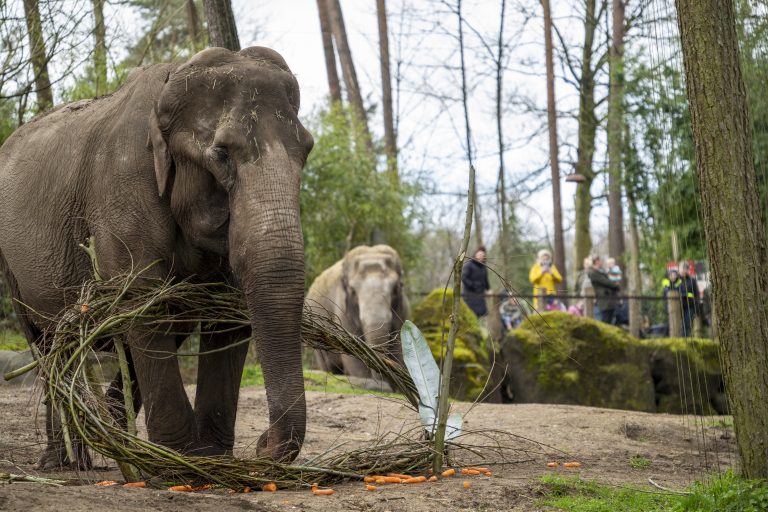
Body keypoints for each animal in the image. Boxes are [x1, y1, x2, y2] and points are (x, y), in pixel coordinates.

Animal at [0, 47, 316, 468]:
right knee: (50, 343)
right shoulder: (123, 192)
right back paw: (66, 461)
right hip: (12, 266)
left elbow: (228, 316)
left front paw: (209, 458)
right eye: (222, 154)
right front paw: (180, 464)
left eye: (307, 151)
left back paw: (115, 440)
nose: (263, 444)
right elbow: (143, 303)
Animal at [306, 244, 412, 380]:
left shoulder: (403, 311)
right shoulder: (342, 311)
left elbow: (399, 349)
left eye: (396, 288)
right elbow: (353, 355)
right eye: (353, 291)